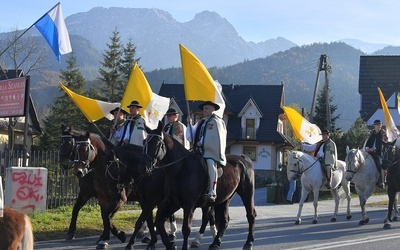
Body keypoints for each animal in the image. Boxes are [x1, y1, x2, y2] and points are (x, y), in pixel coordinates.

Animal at [139, 121, 255, 250]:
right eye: (144, 142)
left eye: (157, 143)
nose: (143, 167)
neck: (181, 168)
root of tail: (243, 159)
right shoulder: (172, 202)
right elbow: (159, 223)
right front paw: (169, 244)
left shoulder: (189, 205)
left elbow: (186, 229)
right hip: (224, 199)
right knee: (224, 221)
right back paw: (215, 243)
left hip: (247, 194)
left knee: (250, 215)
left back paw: (248, 242)